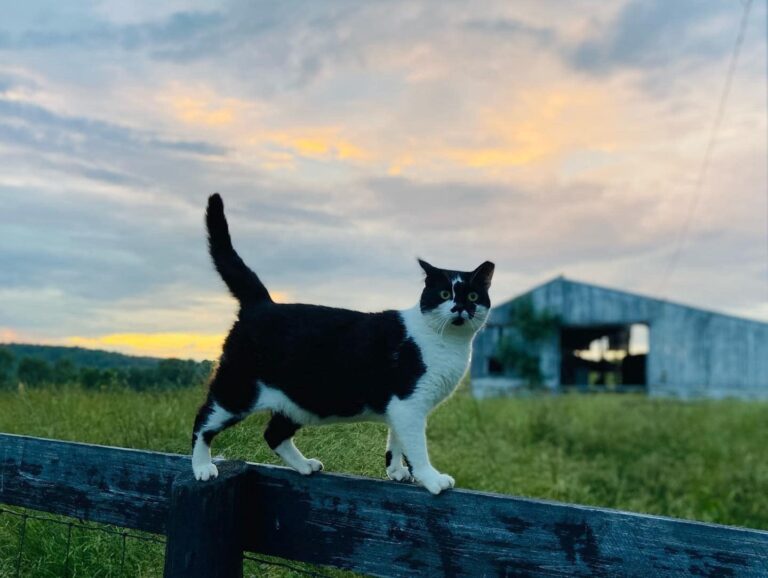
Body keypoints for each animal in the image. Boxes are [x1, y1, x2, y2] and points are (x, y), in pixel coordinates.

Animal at [189, 192, 496, 490]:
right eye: (444, 294)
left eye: (472, 296)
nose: (460, 308)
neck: (449, 343)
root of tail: (262, 303)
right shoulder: (410, 404)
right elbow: (416, 447)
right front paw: (431, 479)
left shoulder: (401, 409)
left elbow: (396, 440)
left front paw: (396, 471)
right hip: (238, 389)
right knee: (203, 421)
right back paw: (202, 467)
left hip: (297, 401)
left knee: (273, 433)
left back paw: (304, 466)